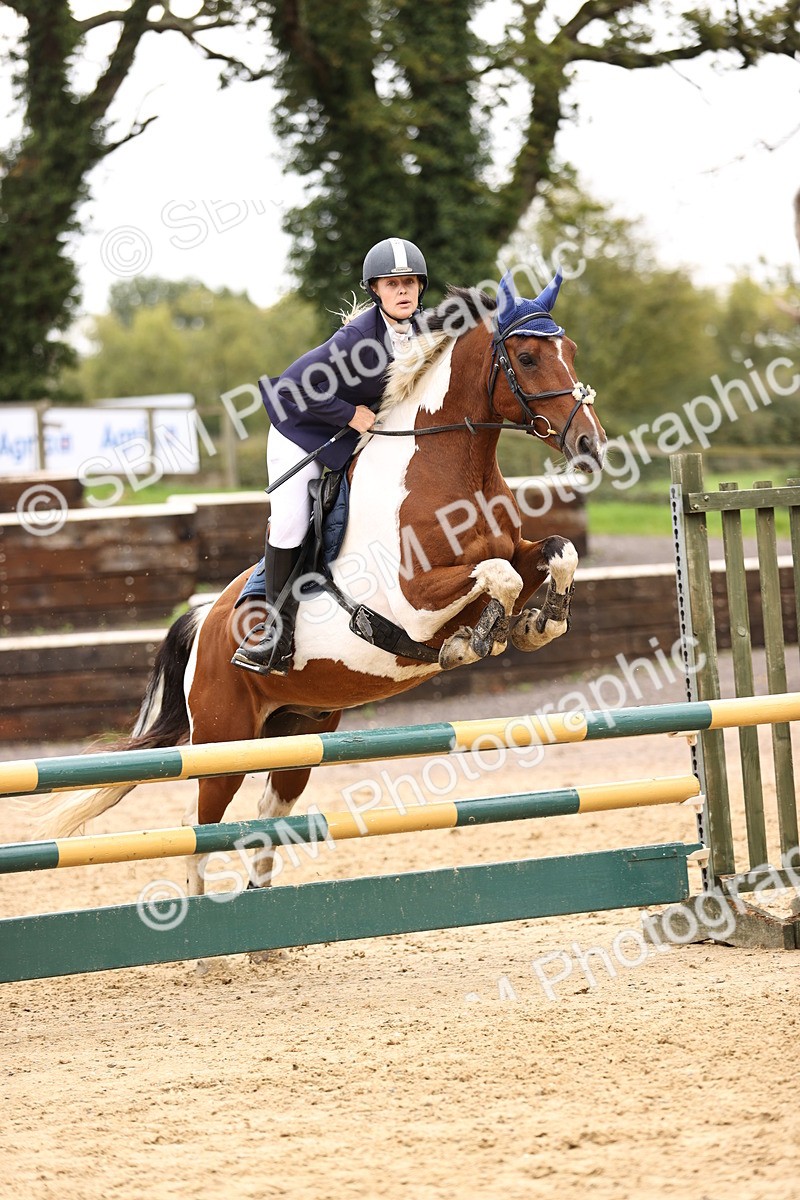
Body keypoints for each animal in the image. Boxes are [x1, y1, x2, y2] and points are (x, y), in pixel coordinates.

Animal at [32, 272, 607, 894]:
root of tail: (207, 619)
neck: (452, 465)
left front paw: (537, 624)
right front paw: (472, 642)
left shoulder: (516, 554)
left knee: (268, 811)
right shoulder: (411, 603)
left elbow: (557, 552)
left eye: (571, 350)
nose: (591, 445)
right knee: (198, 825)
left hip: (300, 729)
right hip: (222, 739)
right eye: (526, 357)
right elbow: (495, 578)